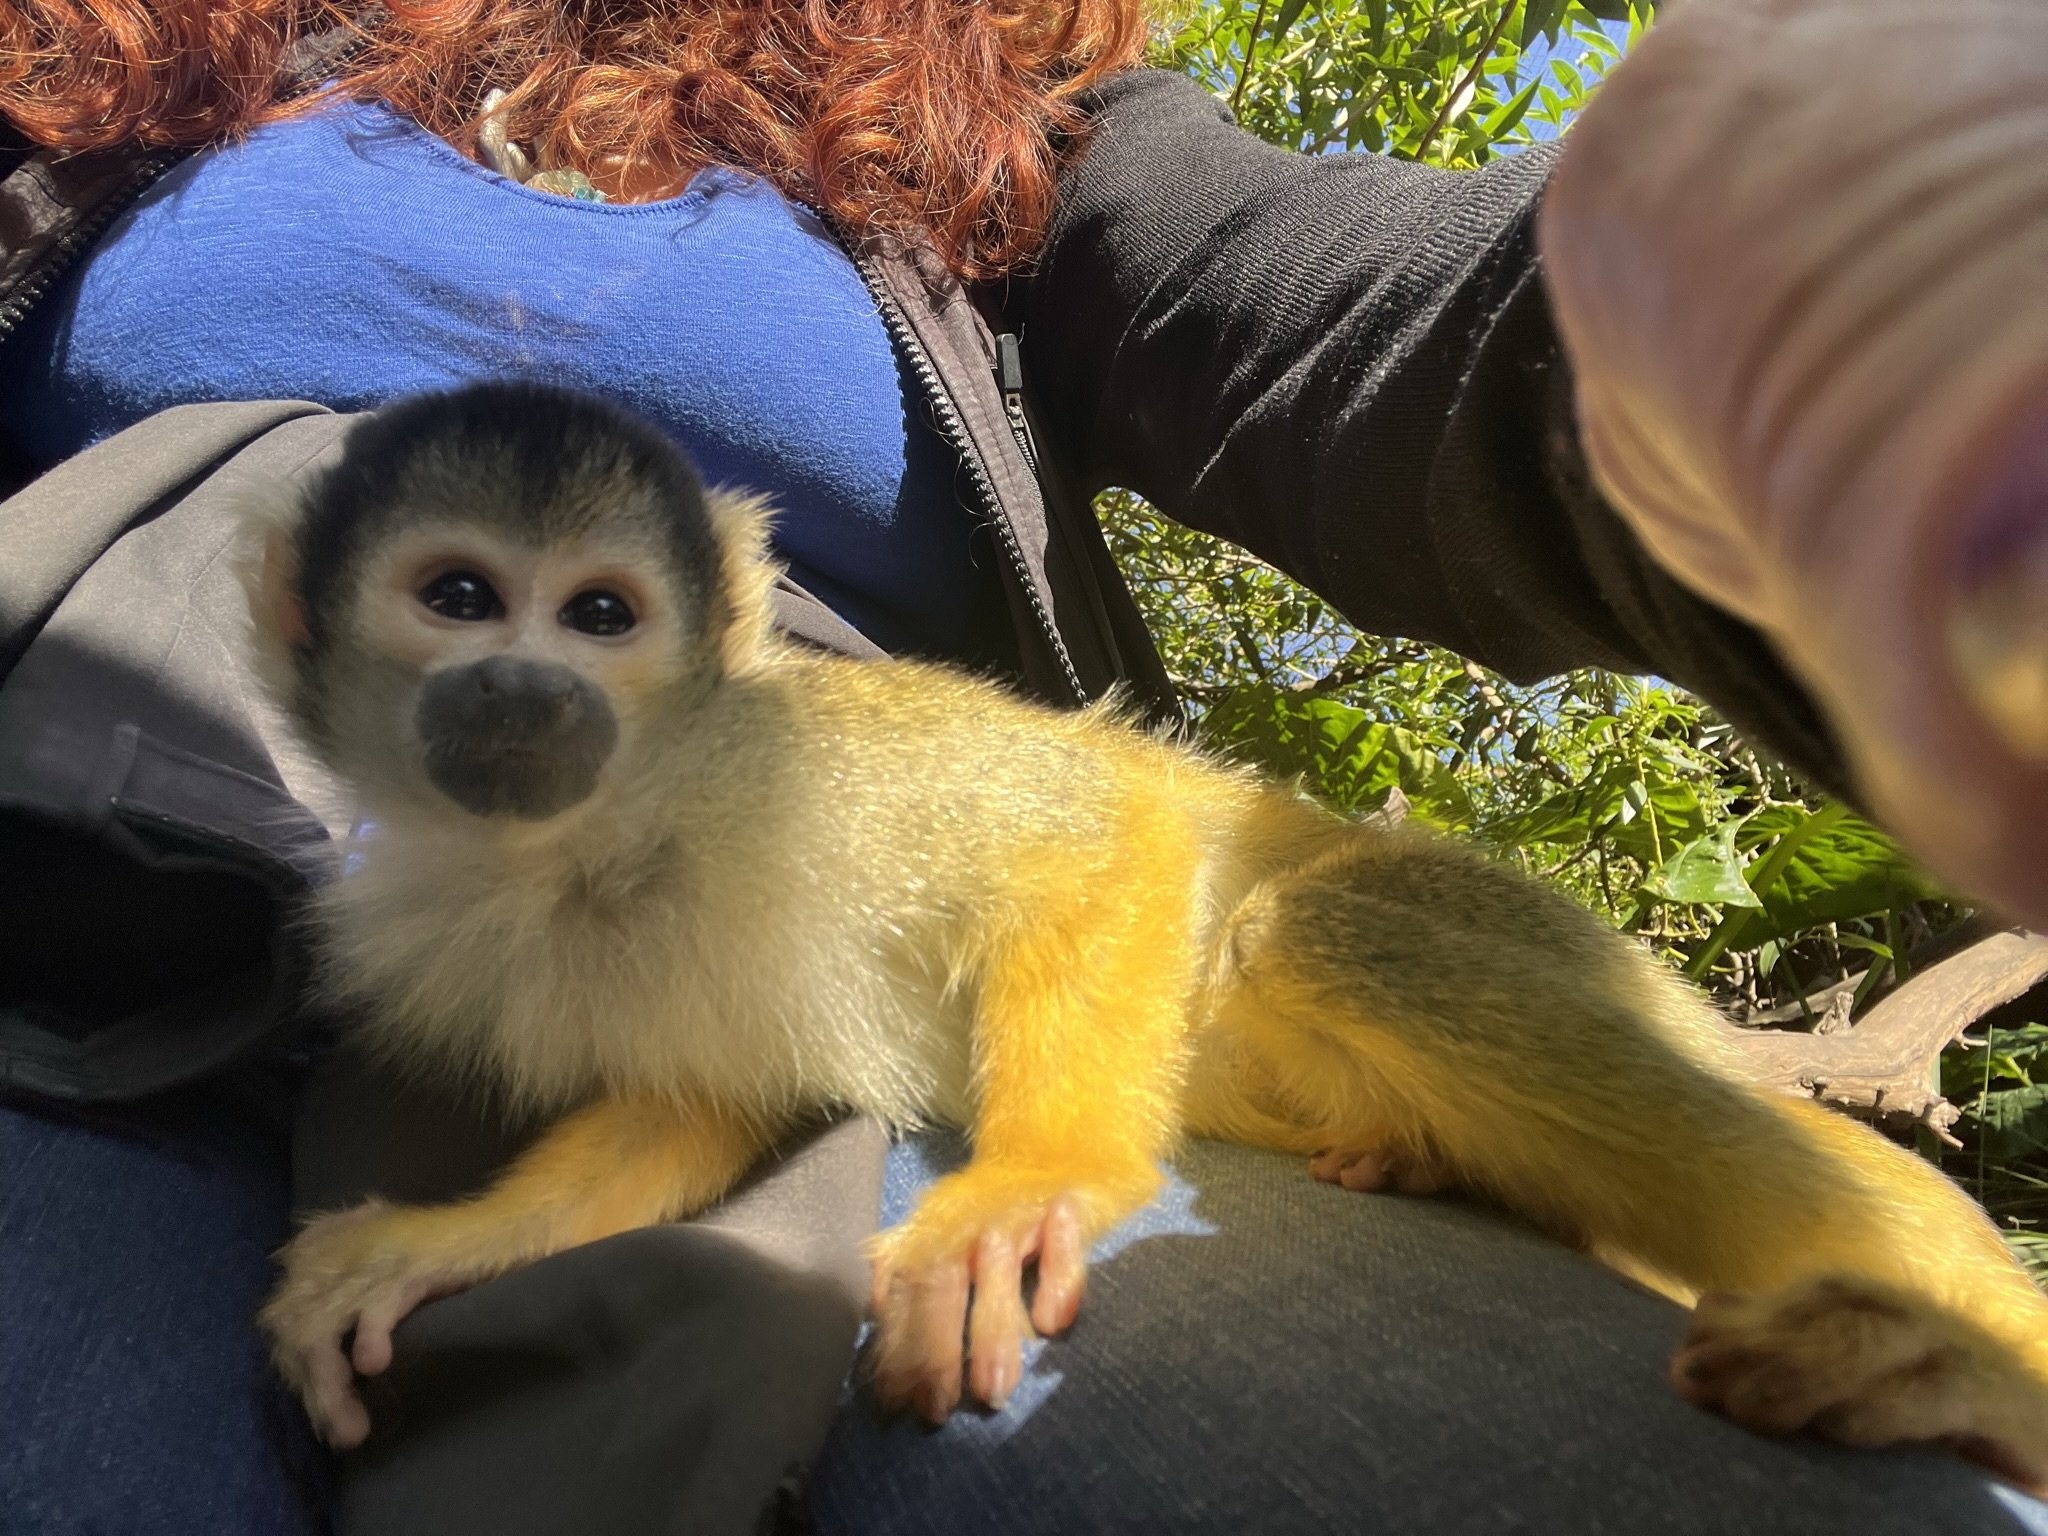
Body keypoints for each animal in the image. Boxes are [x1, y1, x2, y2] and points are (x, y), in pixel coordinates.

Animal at [244, 380, 2048, 1491]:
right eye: (459, 598)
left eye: (600, 615)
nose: (523, 691)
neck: (617, 834)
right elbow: (696, 1110)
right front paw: (451, 1241)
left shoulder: (810, 765)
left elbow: (1100, 829)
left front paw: (1028, 1186)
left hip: (1521, 924)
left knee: (1314, 932)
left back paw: (1967, 1342)